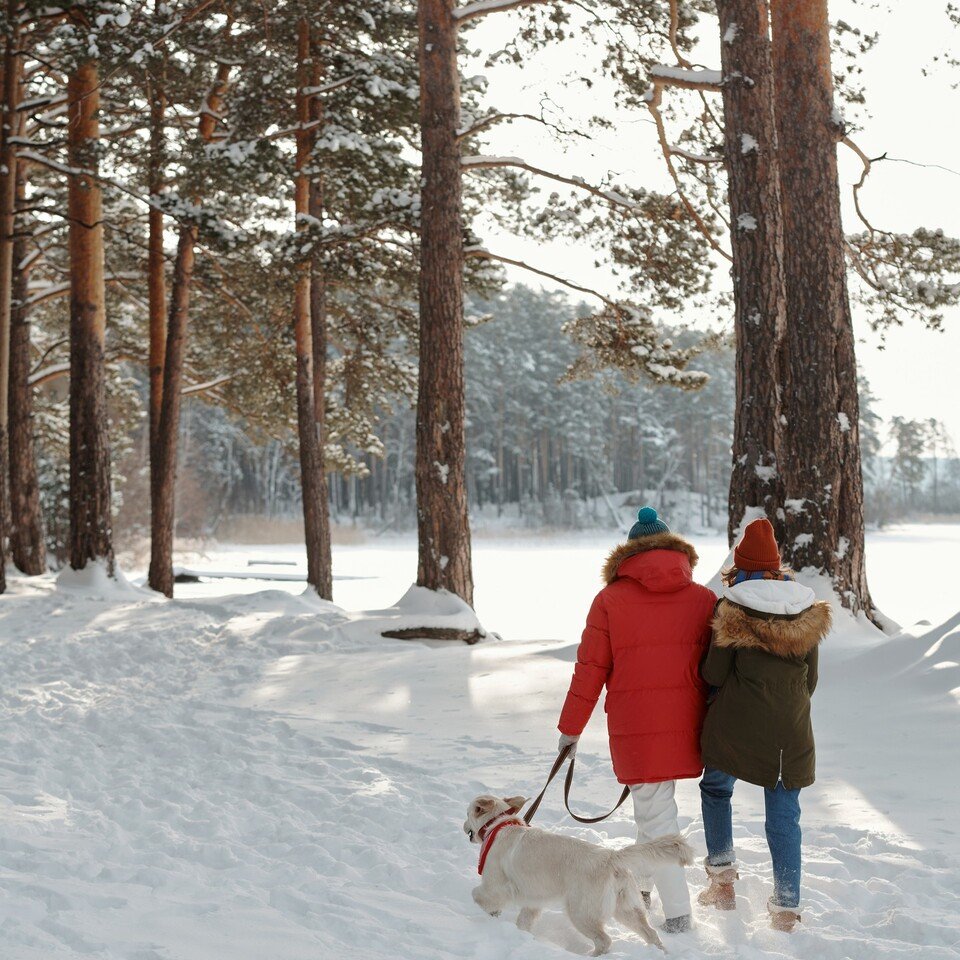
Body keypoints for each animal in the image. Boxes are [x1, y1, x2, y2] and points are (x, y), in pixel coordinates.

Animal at [464, 796, 688, 952]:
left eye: (467, 814)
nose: (464, 826)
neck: (498, 826)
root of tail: (611, 856)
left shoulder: (495, 886)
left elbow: (477, 894)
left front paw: (490, 915)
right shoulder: (533, 902)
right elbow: (523, 922)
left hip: (581, 912)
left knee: (605, 941)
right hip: (626, 909)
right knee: (651, 934)